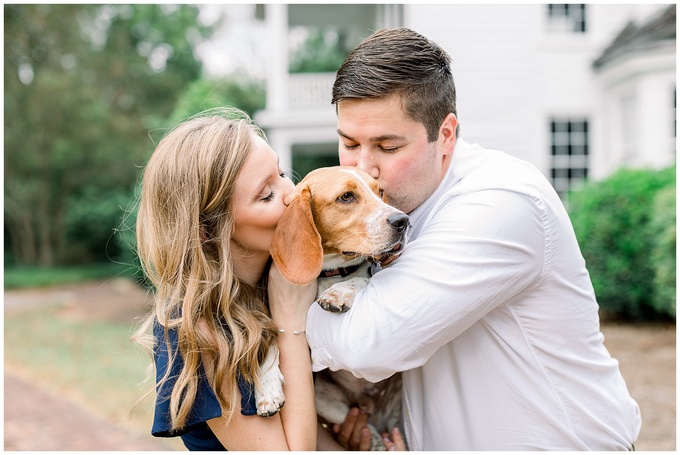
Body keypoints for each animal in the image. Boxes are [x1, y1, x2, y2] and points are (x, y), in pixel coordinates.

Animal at [268, 166, 412, 450]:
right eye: (346, 197)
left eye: (380, 191)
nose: (403, 221)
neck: (330, 271)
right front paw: (266, 389)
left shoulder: (366, 273)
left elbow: (362, 279)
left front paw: (340, 292)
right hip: (325, 403)